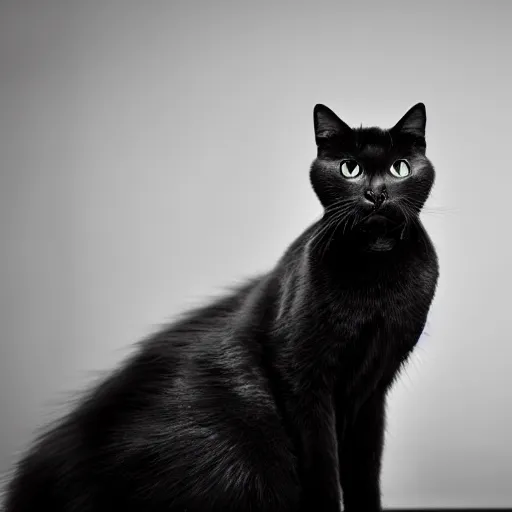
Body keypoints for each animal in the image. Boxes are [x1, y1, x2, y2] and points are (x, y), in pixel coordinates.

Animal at [2, 102, 438, 510]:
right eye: (350, 169)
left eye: (399, 168)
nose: (377, 193)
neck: (377, 277)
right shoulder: (305, 380)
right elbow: (323, 467)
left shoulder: (372, 389)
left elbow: (365, 472)